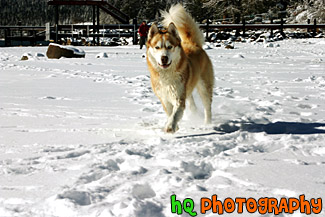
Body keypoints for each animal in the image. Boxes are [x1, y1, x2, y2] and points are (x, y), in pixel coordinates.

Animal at [146, 3, 213, 132]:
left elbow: (175, 113)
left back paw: (207, 124)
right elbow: (170, 113)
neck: (166, 75)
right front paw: (175, 126)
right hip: (188, 88)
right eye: (157, 47)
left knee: (207, 107)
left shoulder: (178, 97)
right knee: (192, 103)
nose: (164, 58)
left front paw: (170, 126)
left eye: (169, 47)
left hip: (204, 87)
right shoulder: (164, 98)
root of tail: (193, 44)